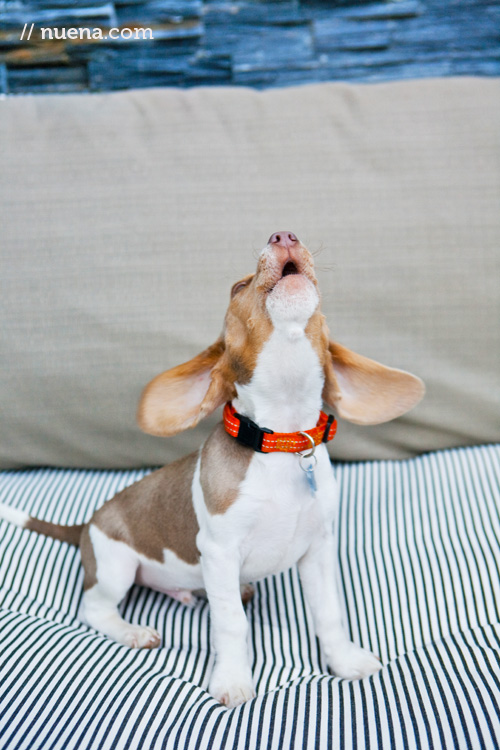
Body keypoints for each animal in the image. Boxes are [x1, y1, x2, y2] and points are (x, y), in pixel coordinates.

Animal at [0, 235, 424, 712]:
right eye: (238, 287)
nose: (284, 236)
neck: (281, 444)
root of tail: (85, 525)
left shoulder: (318, 549)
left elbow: (329, 613)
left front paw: (345, 660)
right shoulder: (219, 552)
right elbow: (231, 624)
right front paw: (233, 680)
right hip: (115, 566)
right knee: (94, 608)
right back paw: (132, 631)